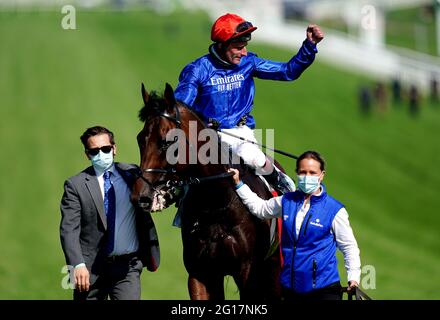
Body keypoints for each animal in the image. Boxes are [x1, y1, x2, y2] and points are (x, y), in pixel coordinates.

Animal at [131, 82, 282, 300]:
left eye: (167, 141)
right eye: (140, 138)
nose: (139, 195)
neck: (217, 206)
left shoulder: (247, 273)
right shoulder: (201, 273)